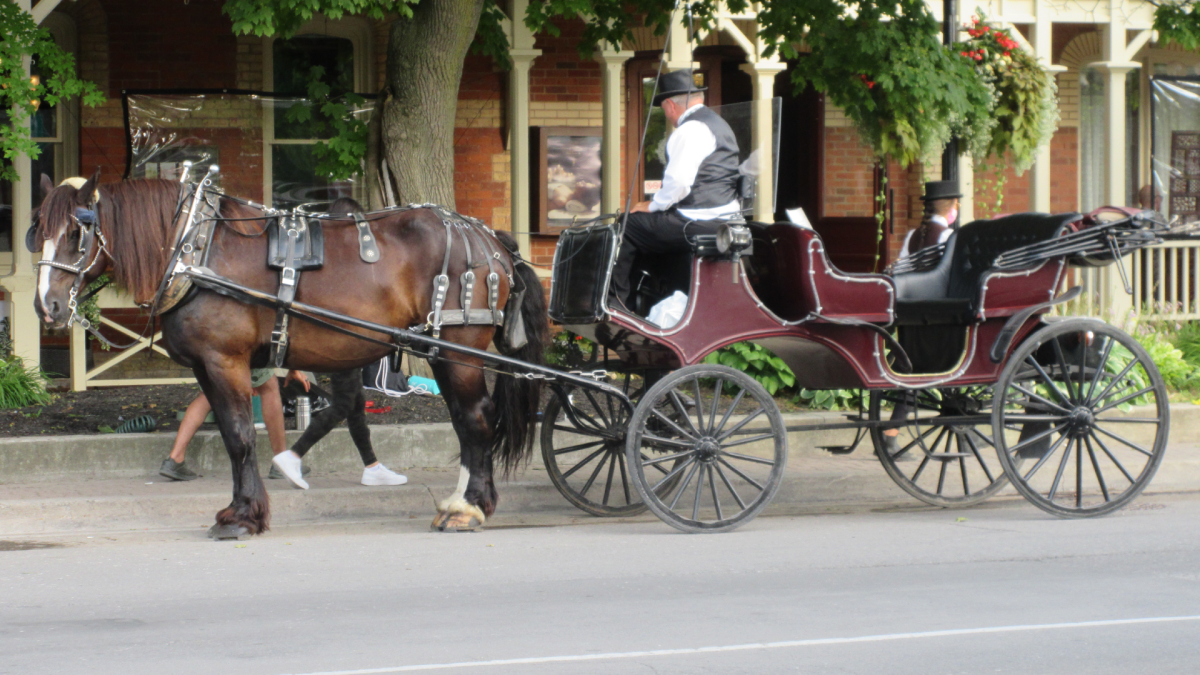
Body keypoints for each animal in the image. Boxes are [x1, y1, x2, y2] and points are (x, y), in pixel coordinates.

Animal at [32, 172, 549, 535]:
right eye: (35, 230)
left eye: (79, 233)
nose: (46, 306)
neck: (195, 252)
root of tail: (489, 239)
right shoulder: (206, 368)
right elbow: (232, 435)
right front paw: (244, 508)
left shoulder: (226, 361)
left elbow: (241, 436)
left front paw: (244, 516)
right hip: (440, 350)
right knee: (465, 422)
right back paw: (461, 501)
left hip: (459, 348)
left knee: (477, 419)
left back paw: (469, 507)